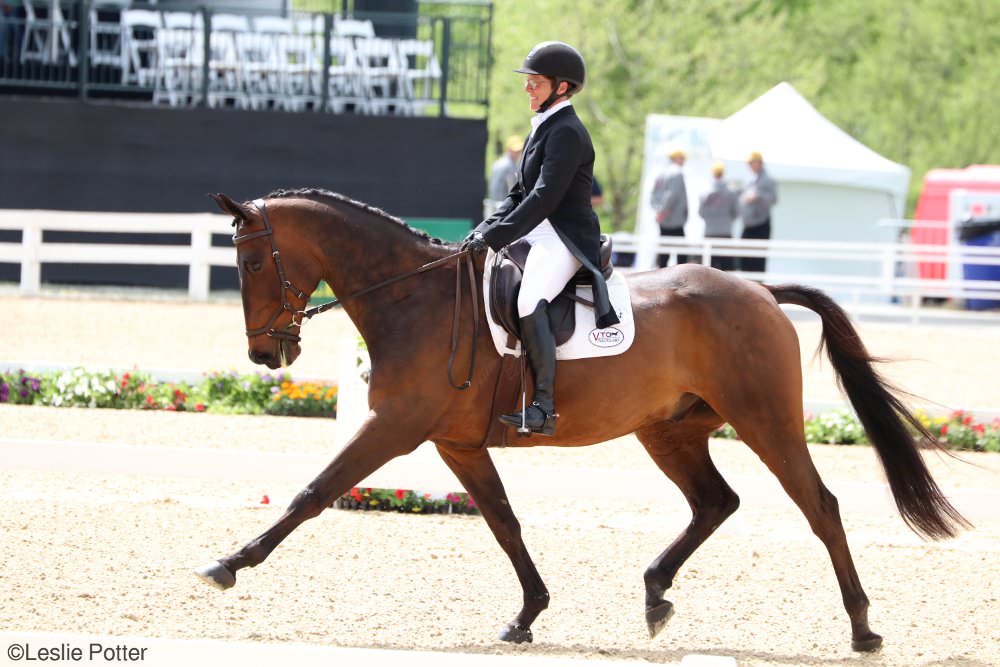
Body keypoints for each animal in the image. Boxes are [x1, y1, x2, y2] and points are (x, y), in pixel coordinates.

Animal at [195, 188, 968, 652]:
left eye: (255, 262)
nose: (266, 353)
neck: (411, 297)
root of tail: (757, 288)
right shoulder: (455, 443)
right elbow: (504, 521)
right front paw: (527, 612)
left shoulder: (393, 427)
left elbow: (312, 493)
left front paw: (228, 563)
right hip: (670, 429)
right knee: (715, 501)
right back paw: (655, 595)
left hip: (764, 419)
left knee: (820, 505)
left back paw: (862, 627)